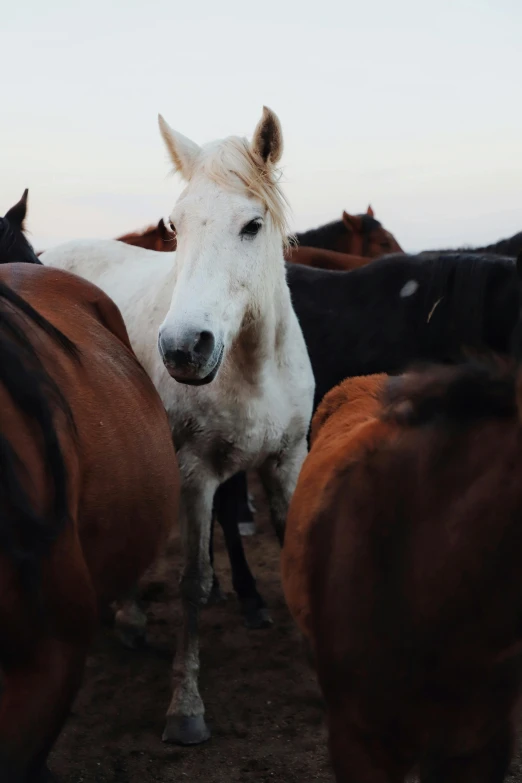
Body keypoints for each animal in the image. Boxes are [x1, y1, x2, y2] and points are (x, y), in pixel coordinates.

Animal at [40, 105, 312, 748]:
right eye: (176, 224)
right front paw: (185, 709)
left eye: (252, 225)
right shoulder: (196, 476)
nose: (184, 348)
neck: (254, 366)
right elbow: (194, 584)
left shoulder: (288, 459)